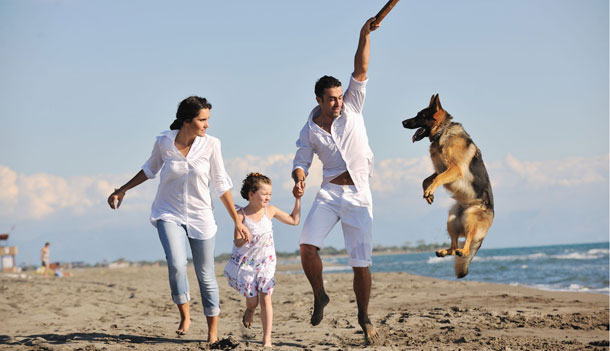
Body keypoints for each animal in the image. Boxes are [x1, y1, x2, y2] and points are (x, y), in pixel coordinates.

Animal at [402, 95, 492, 280]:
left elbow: (436, 179)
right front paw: (428, 194)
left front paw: (430, 191)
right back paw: (445, 251)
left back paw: (462, 251)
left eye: (421, 115)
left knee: (466, 245)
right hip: (451, 219)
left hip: (470, 217)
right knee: (454, 245)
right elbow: (426, 180)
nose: (402, 122)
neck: (442, 132)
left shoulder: (454, 169)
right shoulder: (441, 169)